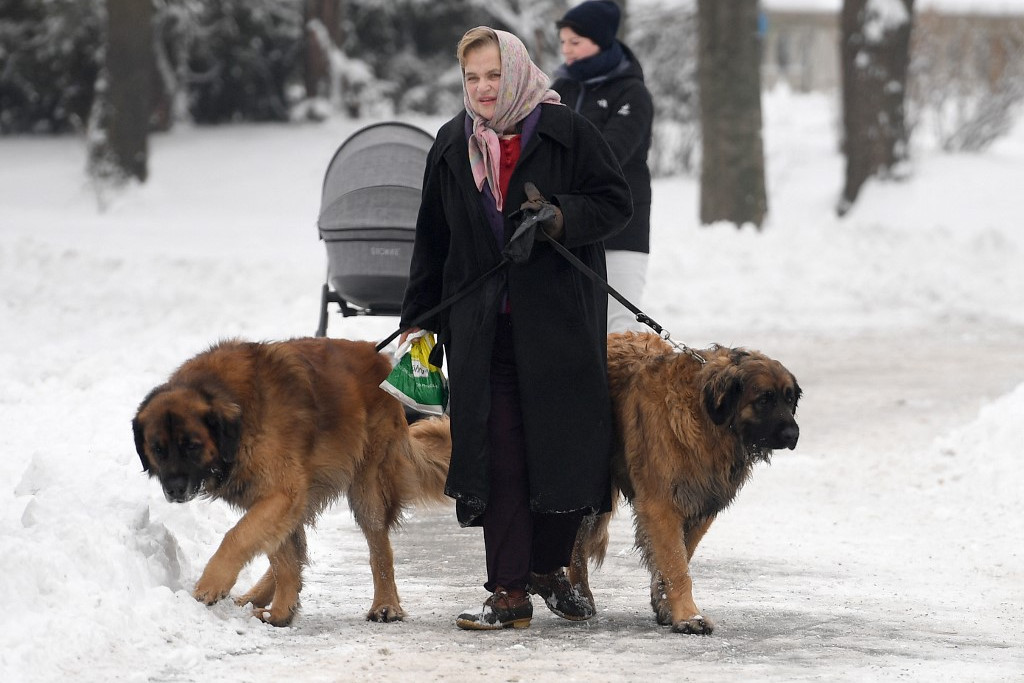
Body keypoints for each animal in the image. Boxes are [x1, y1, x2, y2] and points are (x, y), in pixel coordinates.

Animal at [130, 339, 450, 626]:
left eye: (192, 446)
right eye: (158, 449)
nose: (174, 489)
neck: (239, 415)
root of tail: (379, 356)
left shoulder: (282, 493)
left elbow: (238, 537)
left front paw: (212, 583)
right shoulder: (276, 496)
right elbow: (279, 556)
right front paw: (282, 612)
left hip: (367, 486)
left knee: (379, 548)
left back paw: (385, 605)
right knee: (293, 547)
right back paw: (258, 599)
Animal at [569, 331, 798, 634]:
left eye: (789, 399)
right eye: (764, 399)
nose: (794, 434)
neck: (707, 419)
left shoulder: (700, 500)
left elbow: (678, 557)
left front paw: (666, 605)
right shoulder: (661, 505)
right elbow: (677, 565)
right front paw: (690, 616)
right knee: (577, 541)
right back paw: (575, 596)